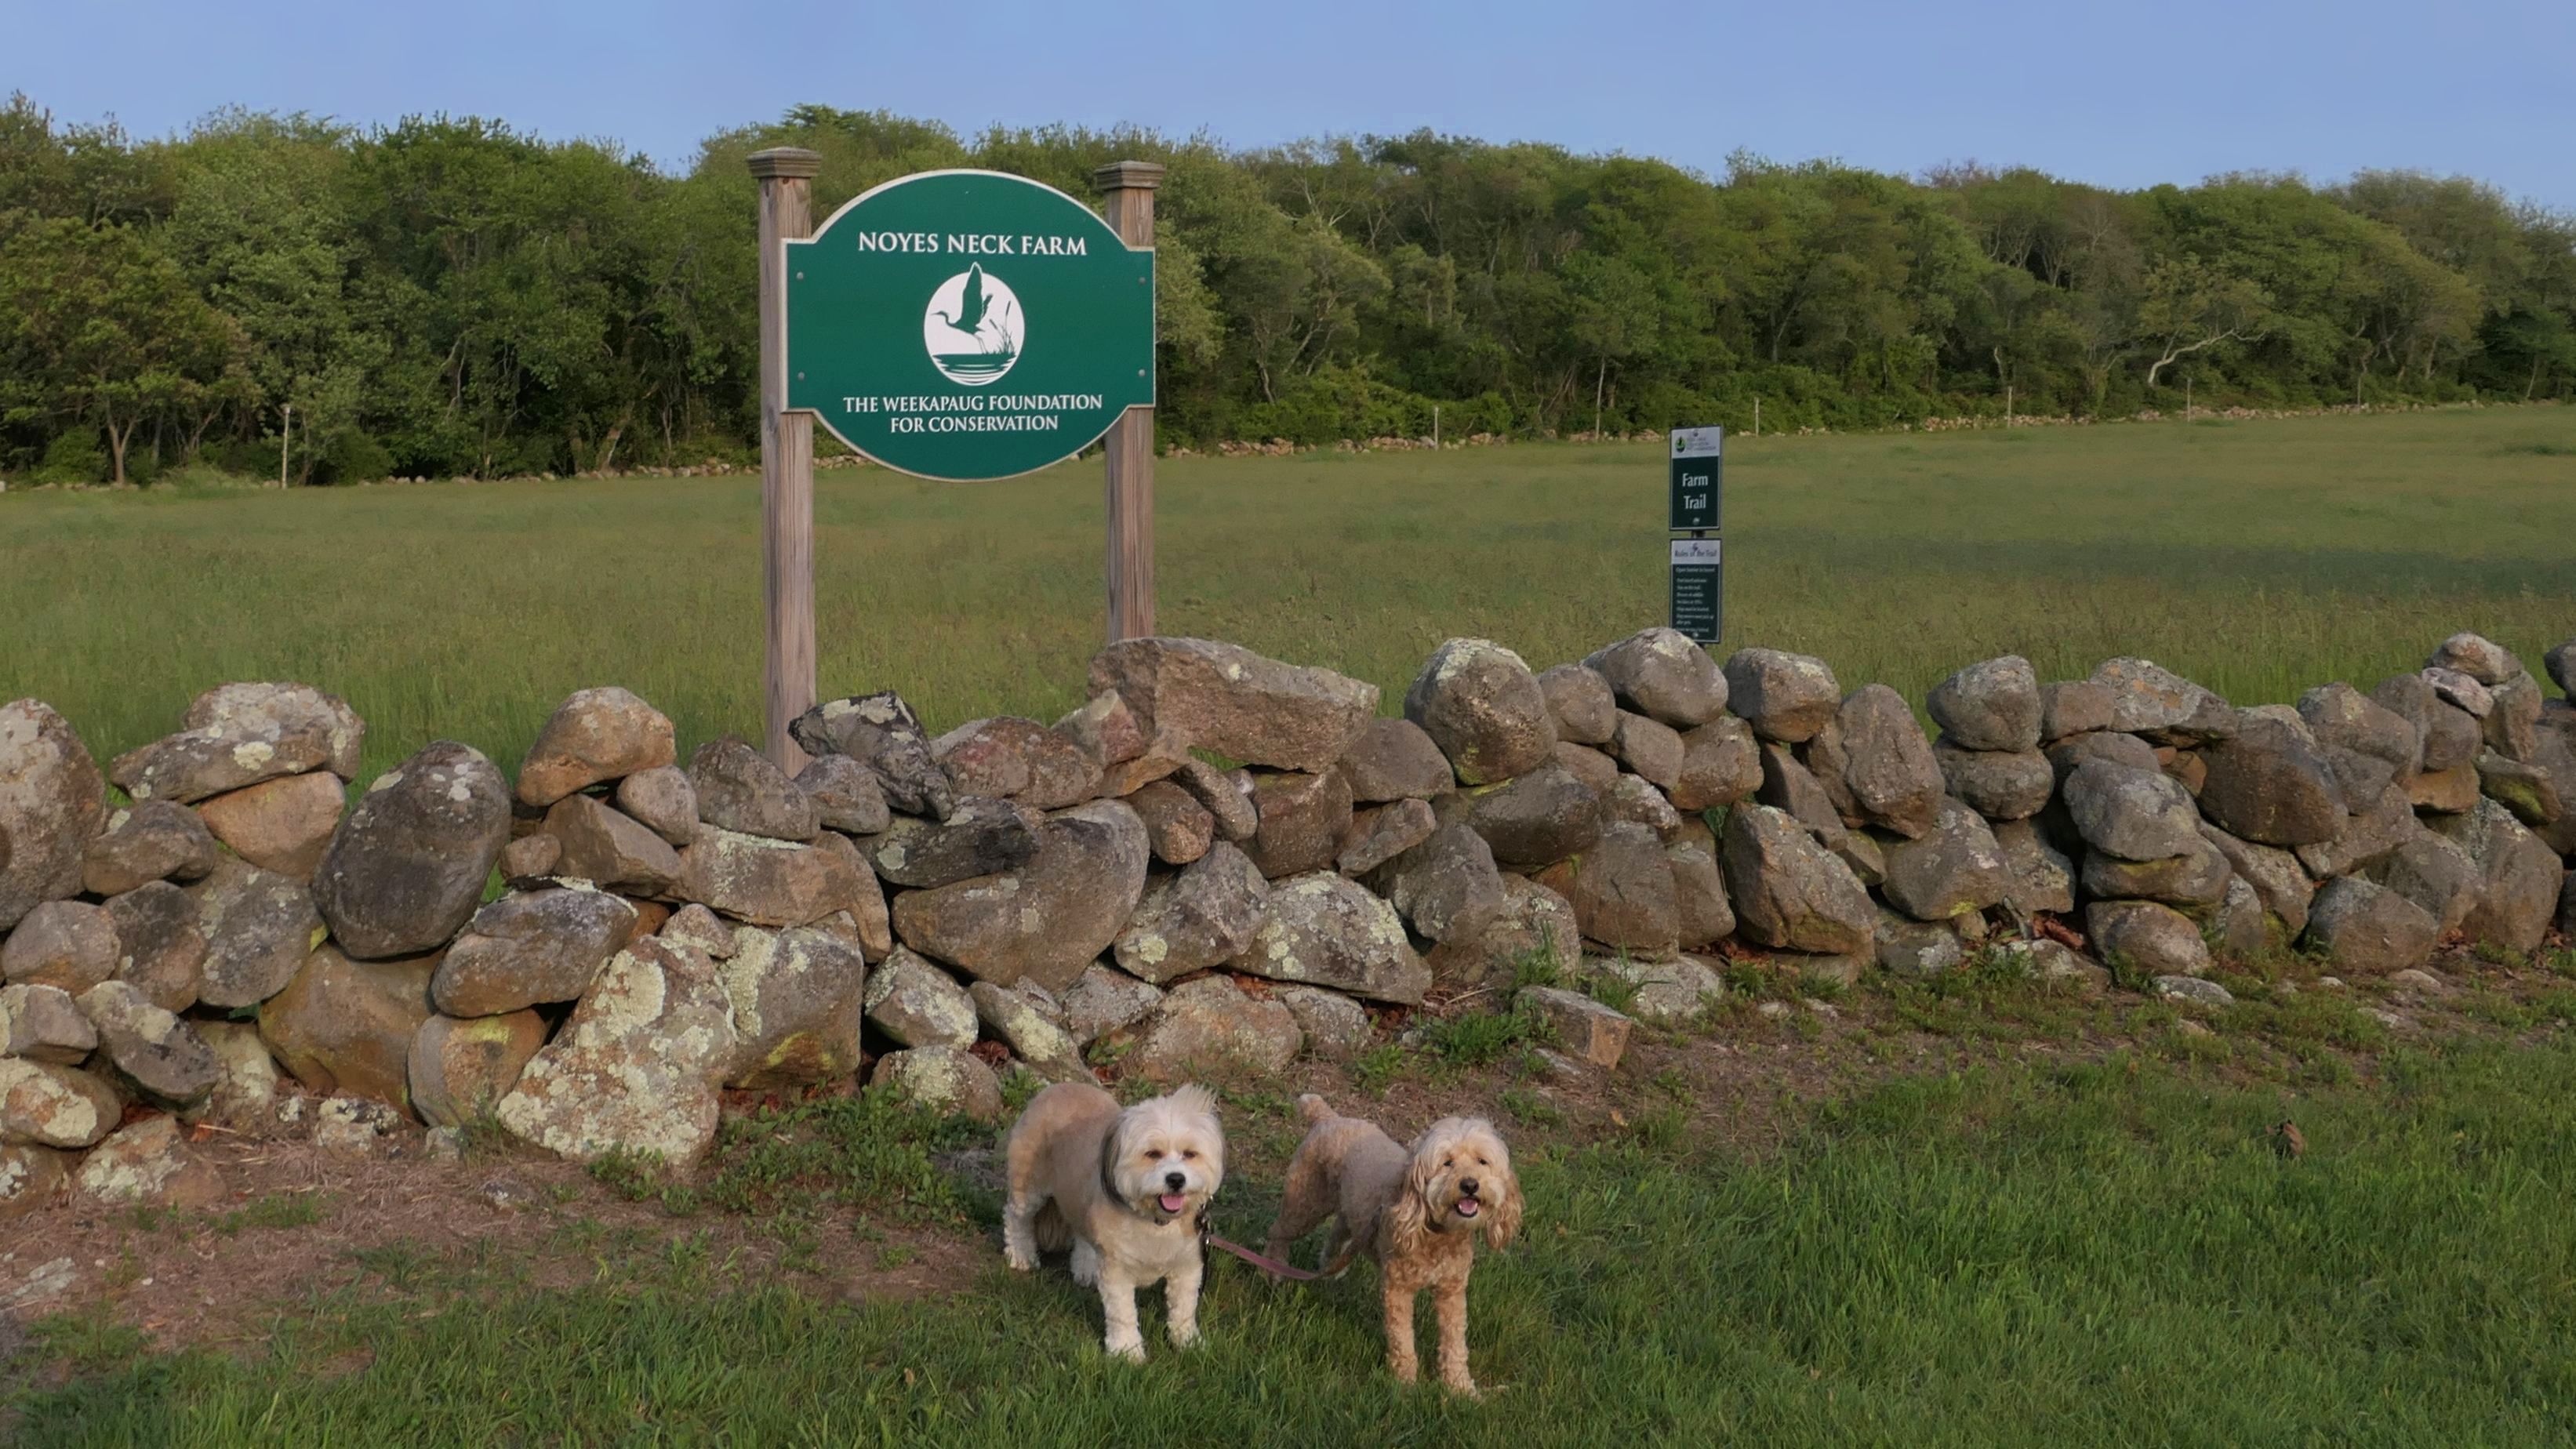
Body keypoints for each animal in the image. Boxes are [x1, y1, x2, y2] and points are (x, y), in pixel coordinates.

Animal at [1001, 1081, 1225, 1360]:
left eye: (1190, 1154)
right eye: (1153, 1154)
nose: (1176, 1179)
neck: (1156, 1223)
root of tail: (1058, 1087)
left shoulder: (1188, 1266)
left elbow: (1184, 1309)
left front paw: (1188, 1342)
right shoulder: (1118, 1271)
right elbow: (1123, 1314)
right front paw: (1127, 1351)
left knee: (1082, 1233)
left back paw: (1086, 1268)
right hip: (1029, 1184)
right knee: (1016, 1217)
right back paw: (1020, 1256)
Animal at [1263, 1094, 1523, 1395]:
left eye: (1482, 1161)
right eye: (1447, 1163)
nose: (1470, 1185)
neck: (1435, 1230)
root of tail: (1328, 1118)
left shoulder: (1452, 1292)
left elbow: (1455, 1343)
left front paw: (1460, 1387)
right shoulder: (1398, 1289)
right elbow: (1402, 1338)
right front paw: (1406, 1383)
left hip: (1348, 1209)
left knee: (1339, 1230)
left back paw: (1332, 1268)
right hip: (1305, 1202)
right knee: (1277, 1233)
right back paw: (1273, 1272)